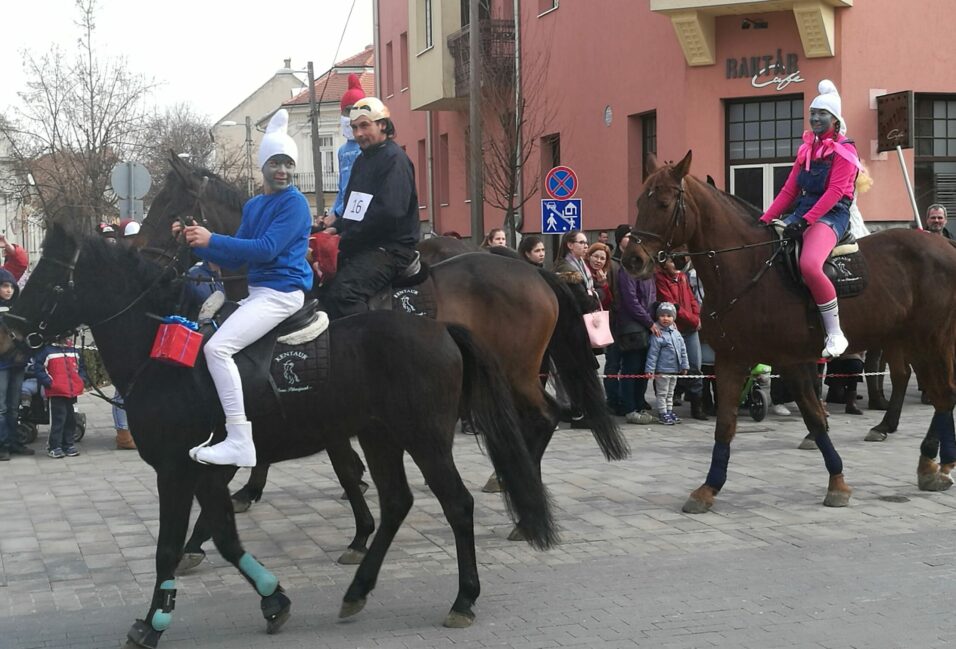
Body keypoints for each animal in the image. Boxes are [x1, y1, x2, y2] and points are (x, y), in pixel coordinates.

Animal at [0, 221, 556, 644]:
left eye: (50, 279)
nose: (11, 331)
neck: (163, 348)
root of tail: (440, 329)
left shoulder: (176, 470)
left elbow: (169, 546)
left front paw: (153, 622)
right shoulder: (205, 471)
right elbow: (226, 537)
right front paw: (273, 598)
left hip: (426, 437)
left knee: (458, 503)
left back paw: (463, 597)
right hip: (381, 436)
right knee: (397, 501)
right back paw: (357, 590)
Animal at [624, 151, 956, 512]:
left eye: (664, 203)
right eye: (639, 200)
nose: (631, 260)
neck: (749, 270)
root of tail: (946, 247)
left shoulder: (791, 360)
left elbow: (814, 416)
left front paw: (837, 482)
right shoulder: (731, 360)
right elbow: (725, 425)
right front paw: (708, 488)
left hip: (929, 341)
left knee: (943, 394)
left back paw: (935, 462)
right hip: (910, 340)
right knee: (934, 392)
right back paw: (931, 462)